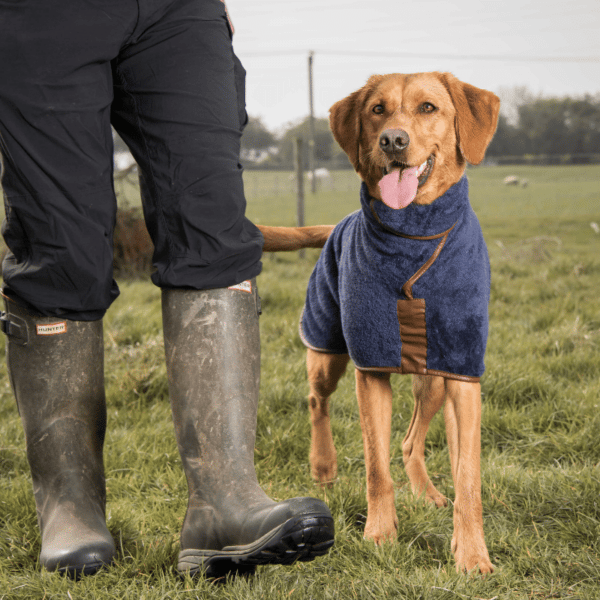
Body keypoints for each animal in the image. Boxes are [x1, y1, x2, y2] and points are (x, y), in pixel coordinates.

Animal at [292, 72, 500, 576]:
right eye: (377, 110)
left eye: (428, 107)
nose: (393, 140)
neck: (414, 235)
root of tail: (338, 224)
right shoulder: (371, 370)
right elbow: (375, 467)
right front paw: (380, 534)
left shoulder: (462, 369)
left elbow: (468, 477)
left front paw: (472, 554)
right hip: (327, 351)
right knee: (316, 399)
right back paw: (323, 465)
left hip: (434, 380)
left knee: (411, 443)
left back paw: (429, 494)